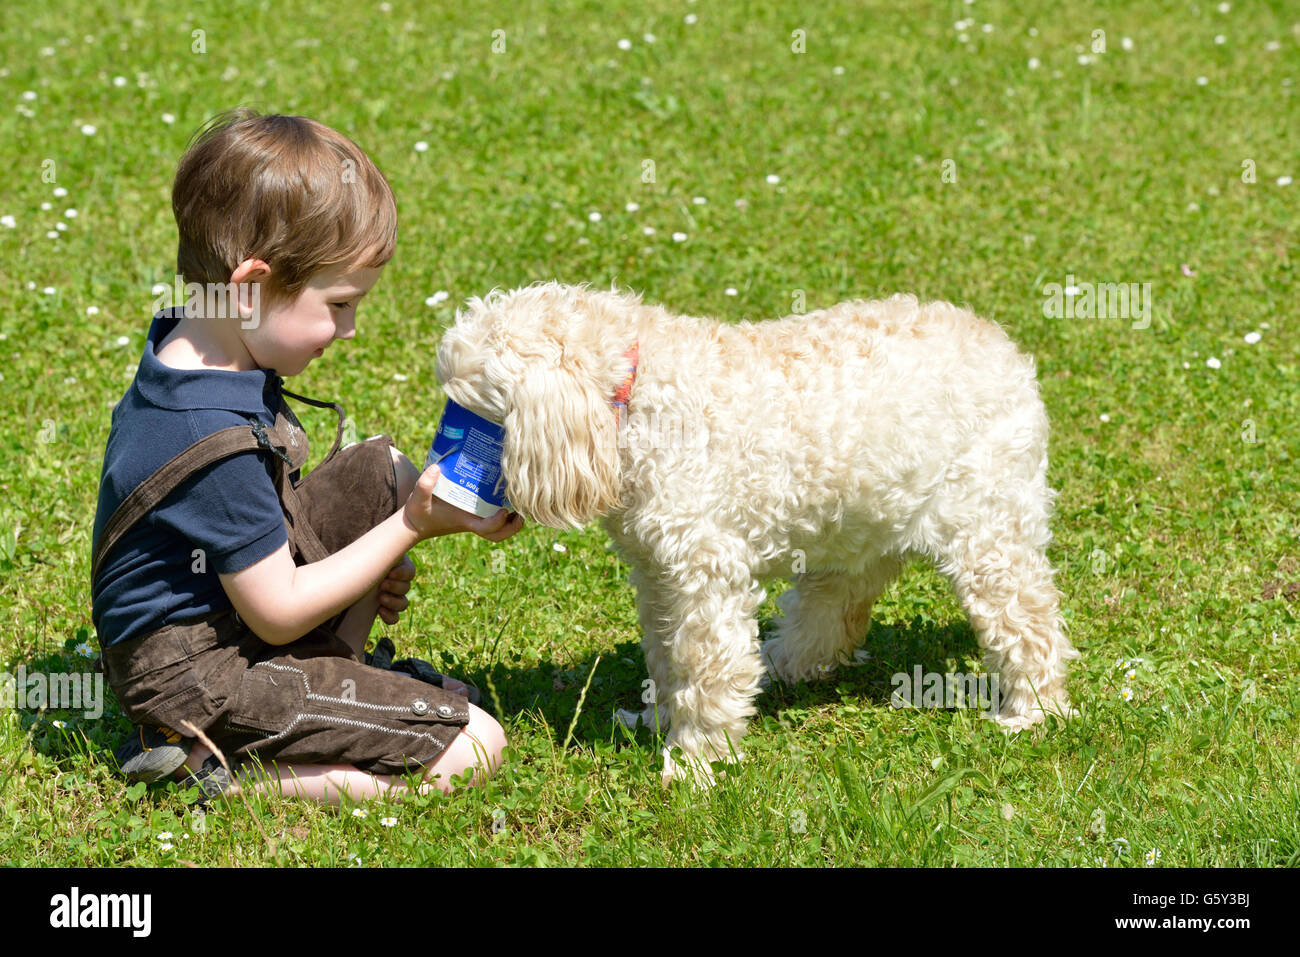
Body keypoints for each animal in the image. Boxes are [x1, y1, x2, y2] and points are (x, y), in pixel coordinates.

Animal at [436, 282, 1076, 785]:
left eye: (475, 409)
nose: (442, 454)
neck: (634, 390)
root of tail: (1005, 349)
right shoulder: (658, 570)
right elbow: (665, 654)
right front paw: (655, 719)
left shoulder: (704, 569)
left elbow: (704, 663)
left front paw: (695, 761)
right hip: (861, 523)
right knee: (834, 608)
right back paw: (782, 663)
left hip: (989, 527)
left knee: (1029, 617)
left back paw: (1033, 712)